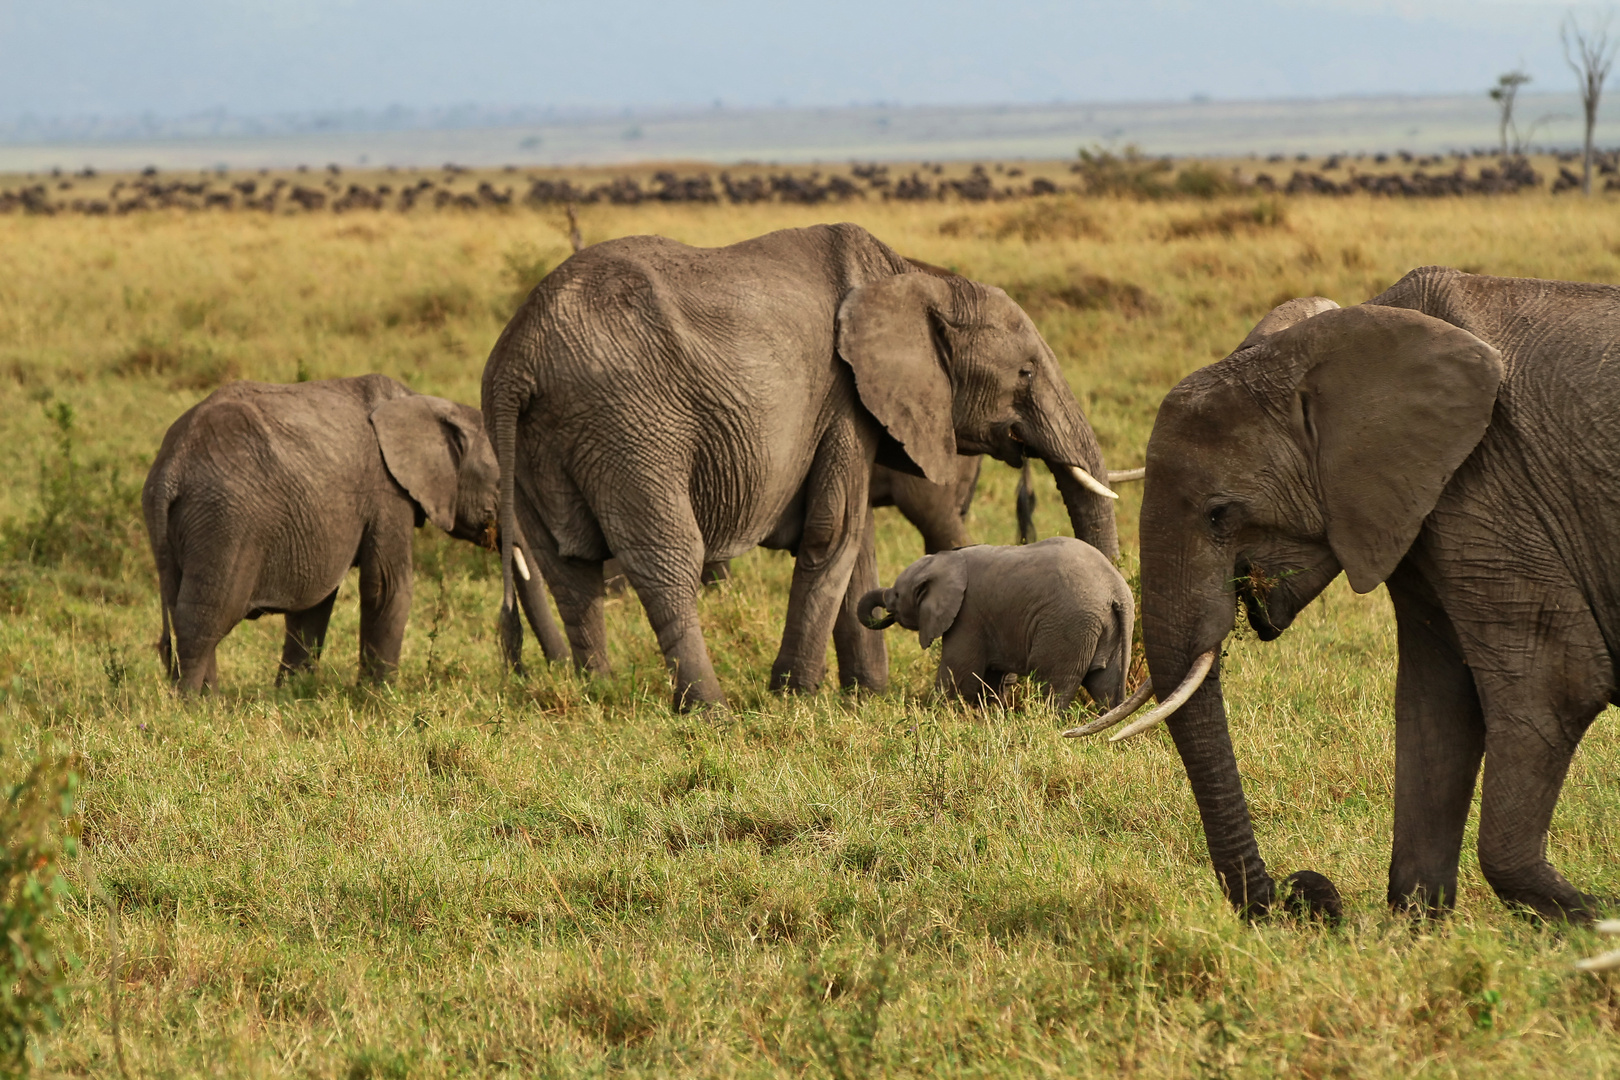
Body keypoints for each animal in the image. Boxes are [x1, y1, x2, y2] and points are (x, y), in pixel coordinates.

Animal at [140, 372, 570, 693]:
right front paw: (379, 700)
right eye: (501, 486)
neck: (424, 403)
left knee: (185, 608)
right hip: (225, 522)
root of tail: (170, 468)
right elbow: (388, 585)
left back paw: (208, 699)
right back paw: (196, 709)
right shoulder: (386, 489)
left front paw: (293, 696)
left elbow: (315, 602)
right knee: (205, 617)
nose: (526, 673)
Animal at [855, 537, 1134, 709]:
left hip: (1069, 624)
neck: (944, 561)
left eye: (897, 595)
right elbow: (991, 677)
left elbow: (959, 674)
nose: (885, 609)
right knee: (1104, 684)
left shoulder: (967, 616)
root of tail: (1116, 588)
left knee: (1050, 680)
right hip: (1107, 627)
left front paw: (936, 713)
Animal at [1075, 268, 1620, 919]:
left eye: (1219, 515)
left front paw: (1590, 917)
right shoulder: (1422, 503)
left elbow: (1557, 683)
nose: (1302, 893)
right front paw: (1416, 919)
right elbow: (1436, 698)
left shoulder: (1493, 486)